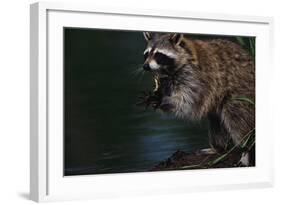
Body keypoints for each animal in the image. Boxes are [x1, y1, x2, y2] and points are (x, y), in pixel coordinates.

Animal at [139, 32, 254, 167]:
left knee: (236, 117)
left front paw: (164, 100)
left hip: (241, 92)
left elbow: (189, 101)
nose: (145, 66)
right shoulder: (168, 78)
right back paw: (218, 148)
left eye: (158, 55)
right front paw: (158, 95)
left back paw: (246, 149)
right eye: (147, 54)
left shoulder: (198, 77)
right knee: (216, 120)